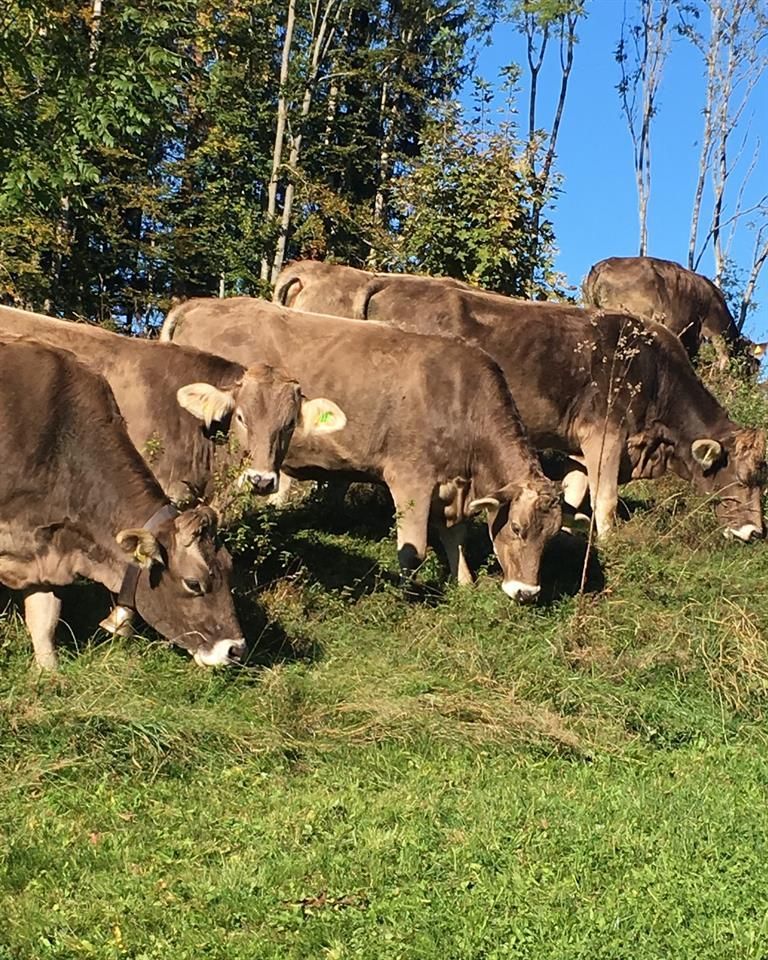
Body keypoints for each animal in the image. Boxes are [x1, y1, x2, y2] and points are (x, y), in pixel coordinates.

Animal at [0, 340, 247, 670]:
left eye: (229, 567)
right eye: (194, 583)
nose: (236, 649)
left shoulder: (45, 547)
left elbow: (44, 621)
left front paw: (48, 673)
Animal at [161, 298, 563, 602]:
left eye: (550, 537)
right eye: (517, 528)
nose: (527, 593)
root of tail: (199, 304)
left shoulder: (453, 486)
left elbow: (456, 536)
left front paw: (464, 582)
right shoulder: (411, 478)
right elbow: (414, 549)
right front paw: (407, 596)